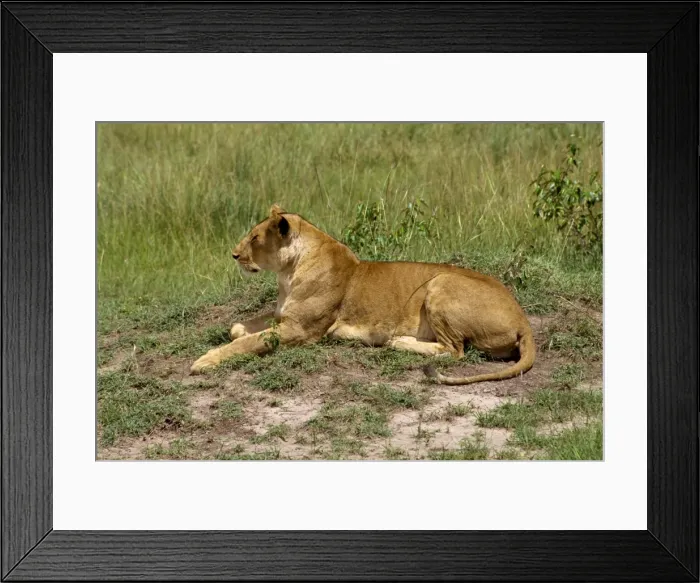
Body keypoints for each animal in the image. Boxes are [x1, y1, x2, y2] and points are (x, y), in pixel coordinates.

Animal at [190, 204, 535, 385]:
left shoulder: (299, 330)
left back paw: (397, 341)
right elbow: (241, 327)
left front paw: (205, 360)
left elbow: (248, 342)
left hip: (441, 282)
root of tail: (524, 321)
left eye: (255, 238)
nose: (234, 255)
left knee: (455, 350)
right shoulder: (282, 316)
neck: (288, 272)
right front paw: (236, 332)